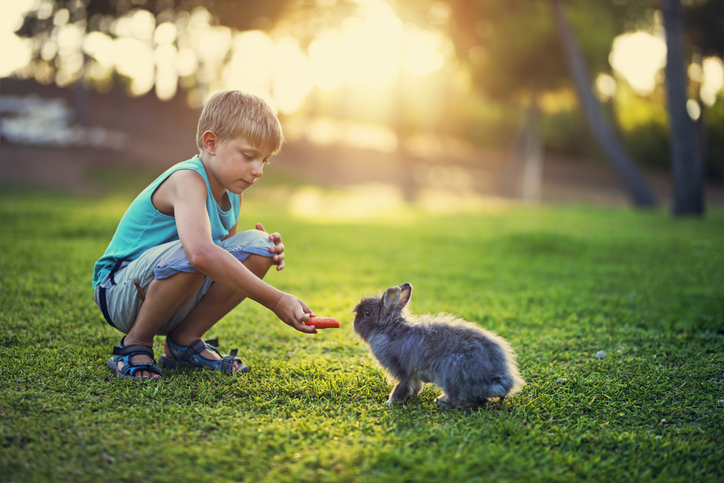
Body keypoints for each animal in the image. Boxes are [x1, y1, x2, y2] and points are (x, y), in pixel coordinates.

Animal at [354, 284, 524, 408]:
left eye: (367, 313)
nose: (354, 324)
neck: (389, 330)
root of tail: (498, 381)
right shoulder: (413, 374)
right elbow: (416, 386)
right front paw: (412, 396)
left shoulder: (403, 370)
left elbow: (401, 387)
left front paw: (389, 403)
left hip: (452, 372)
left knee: (467, 401)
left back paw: (442, 401)